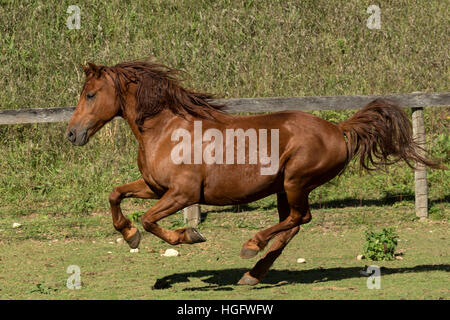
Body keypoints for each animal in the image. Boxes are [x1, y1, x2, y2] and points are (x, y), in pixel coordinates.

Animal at [66, 60, 440, 284]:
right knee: (294, 225)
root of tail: (338, 129)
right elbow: (115, 194)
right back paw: (253, 273)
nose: (72, 134)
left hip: (295, 181)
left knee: (298, 219)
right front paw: (128, 234)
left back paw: (251, 246)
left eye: (91, 94)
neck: (167, 130)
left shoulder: (182, 194)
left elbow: (149, 220)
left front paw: (189, 235)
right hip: (284, 188)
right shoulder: (154, 187)